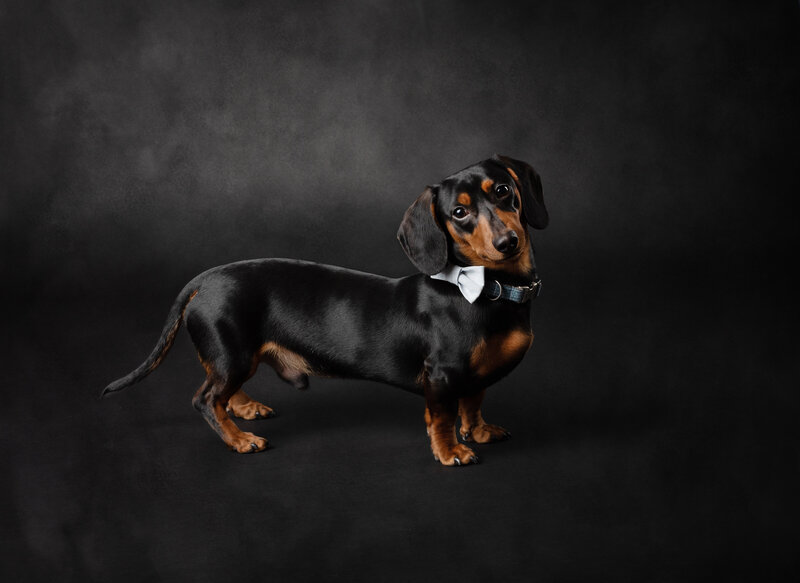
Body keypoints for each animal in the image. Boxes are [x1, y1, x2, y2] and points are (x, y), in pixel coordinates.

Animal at [103, 154, 548, 466]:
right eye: (459, 212)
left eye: (504, 190)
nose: (508, 242)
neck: (487, 288)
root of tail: (205, 279)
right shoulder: (441, 374)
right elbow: (442, 415)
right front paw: (450, 450)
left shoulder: (474, 375)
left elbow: (472, 403)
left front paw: (478, 431)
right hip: (233, 353)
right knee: (205, 398)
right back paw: (239, 440)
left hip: (235, 357)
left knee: (220, 391)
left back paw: (244, 408)